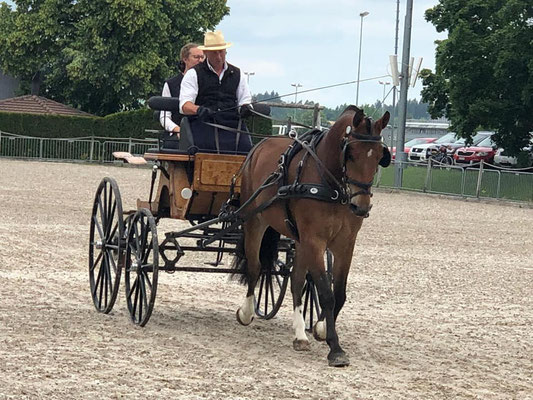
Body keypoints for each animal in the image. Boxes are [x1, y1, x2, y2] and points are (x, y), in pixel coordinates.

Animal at [233, 105, 390, 366]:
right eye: (350, 154)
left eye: (379, 156)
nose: (361, 206)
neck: (332, 185)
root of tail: (260, 146)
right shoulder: (315, 240)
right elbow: (326, 293)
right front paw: (335, 348)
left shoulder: (344, 244)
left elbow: (338, 292)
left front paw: (321, 328)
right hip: (254, 220)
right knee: (255, 267)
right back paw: (246, 312)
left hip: (298, 238)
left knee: (296, 279)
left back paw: (299, 335)